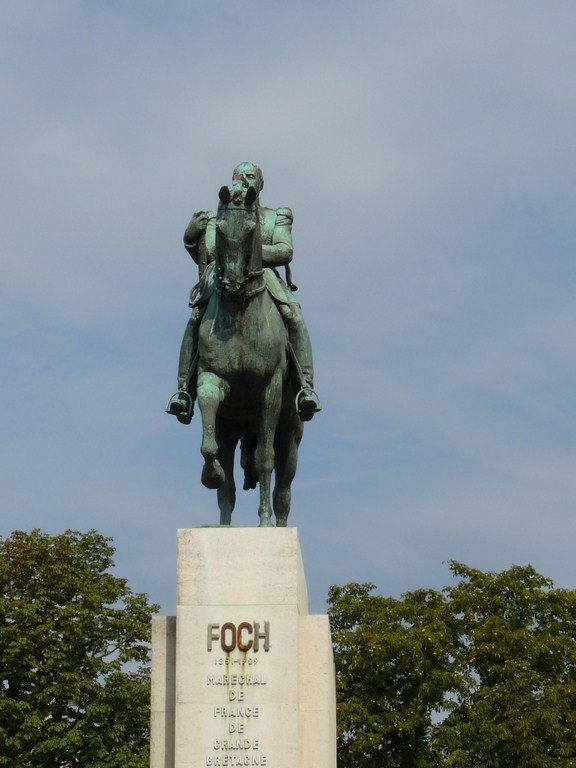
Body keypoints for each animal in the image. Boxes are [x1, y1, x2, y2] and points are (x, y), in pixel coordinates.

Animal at [196, 184, 304, 528]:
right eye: (218, 228)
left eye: (251, 230)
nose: (231, 282)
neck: (240, 315)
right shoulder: (212, 379)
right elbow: (210, 446)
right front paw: (211, 474)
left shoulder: (269, 390)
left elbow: (263, 460)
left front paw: (265, 523)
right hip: (231, 429)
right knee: (228, 485)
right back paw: (224, 524)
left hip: (290, 434)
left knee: (284, 486)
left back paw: (278, 525)